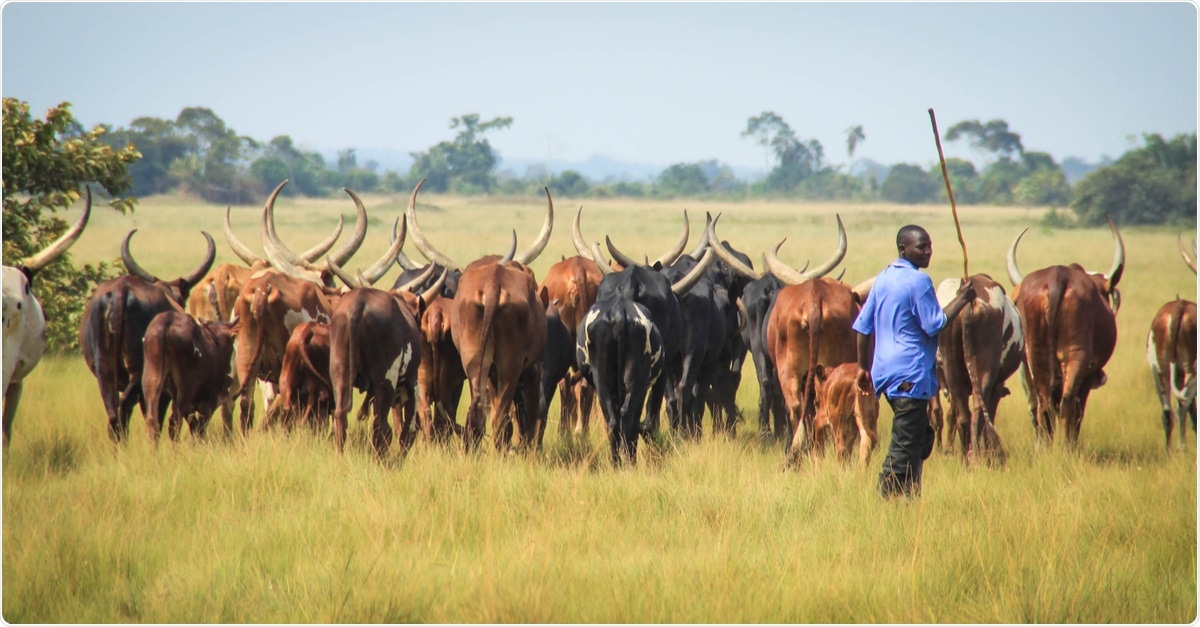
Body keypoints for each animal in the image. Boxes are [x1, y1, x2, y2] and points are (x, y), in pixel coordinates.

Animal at [140, 310, 243, 442]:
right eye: (232, 339)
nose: (229, 368)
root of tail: (167, 320)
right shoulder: (208, 402)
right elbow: (200, 427)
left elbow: (194, 426)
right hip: (185, 391)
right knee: (174, 422)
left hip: (151, 380)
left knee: (153, 421)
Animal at [576, 297, 665, 465]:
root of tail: (618, 309)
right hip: (633, 380)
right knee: (625, 419)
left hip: (604, 379)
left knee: (616, 421)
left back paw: (620, 463)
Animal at [933, 274, 1024, 464]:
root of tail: (971, 303)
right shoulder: (997, 386)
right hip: (984, 374)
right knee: (977, 414)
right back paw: (976, 458)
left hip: (953, 374)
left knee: (962, 417)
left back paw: (964, 458)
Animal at [1005, 215, 1125, 447]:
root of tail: (1057, 278)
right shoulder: (1088, 377)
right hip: (1076, 357)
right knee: (1068, 402)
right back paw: (1067, 446)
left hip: (1036, 356)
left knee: (1044, 404)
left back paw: (1046, 446)